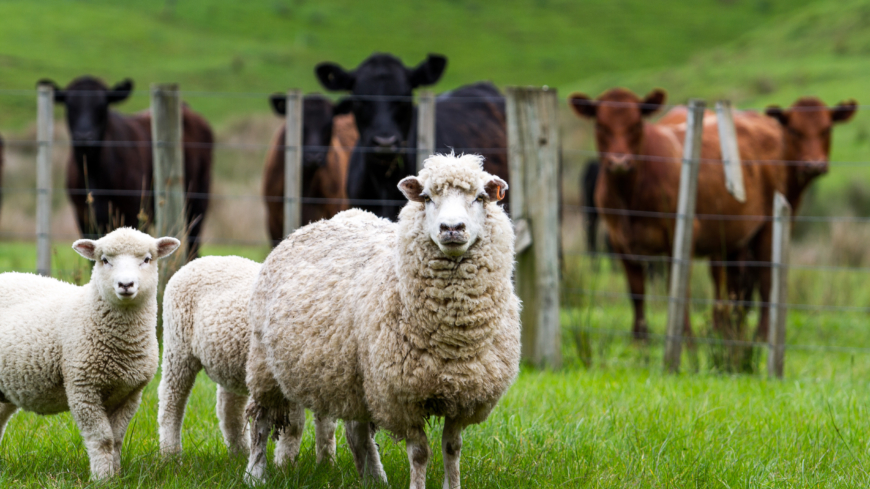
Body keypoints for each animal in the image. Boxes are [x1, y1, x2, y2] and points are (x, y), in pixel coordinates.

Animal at [0, 227, 179, 478]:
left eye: (146, 259)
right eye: (104, 260)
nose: (126, 284)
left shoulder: (129, 394)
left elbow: (116, 439)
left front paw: (116, 476)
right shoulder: (83, 389)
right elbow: (102, 439)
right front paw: (102, 478)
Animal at [157, 254, 338, 464]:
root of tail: (198, 260)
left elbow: (327, 428)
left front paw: (326, 463)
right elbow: (294, 426)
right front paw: (285, 464)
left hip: (231, 361)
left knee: (229, 411)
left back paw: (239, 455)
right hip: (177, 347)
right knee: (171, 401)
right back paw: (170, 455)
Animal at [245, 153, 520, 488]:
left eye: (480, 198)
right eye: (427, 198)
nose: (452, 228)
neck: (452, 339)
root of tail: (315, 224)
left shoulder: (464, 394)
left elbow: (452, 449)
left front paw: (452, 485)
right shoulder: (401, 397)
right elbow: (420, 453)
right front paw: (417, 485)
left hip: (354, 377)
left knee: (358, 431)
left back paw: (374, 477)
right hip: (265, 364)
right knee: (260, 420)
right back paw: (255, 473)